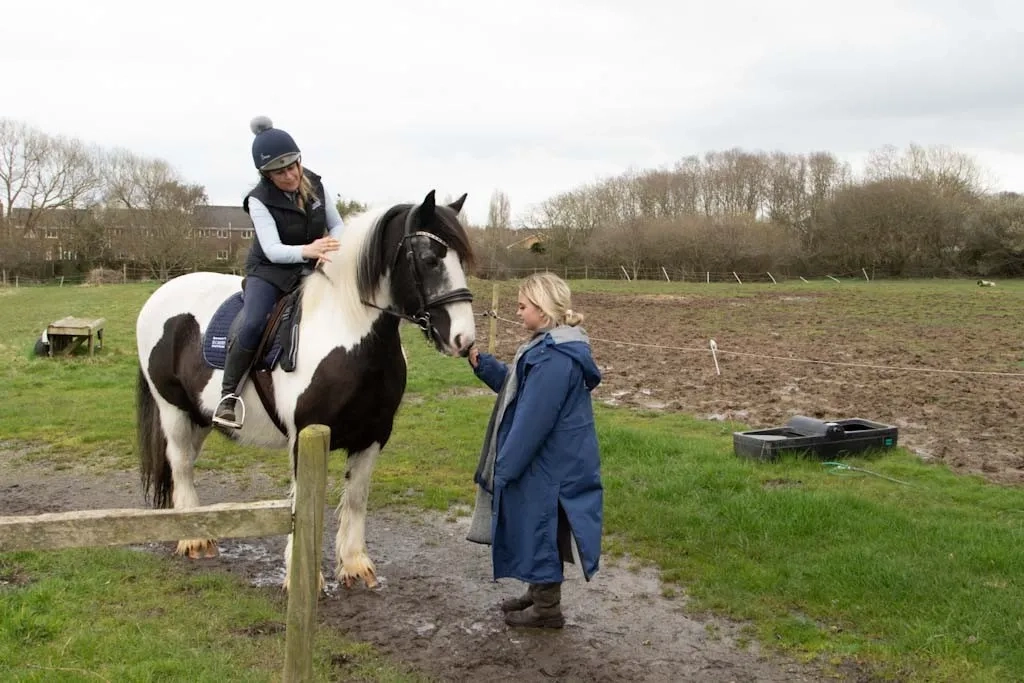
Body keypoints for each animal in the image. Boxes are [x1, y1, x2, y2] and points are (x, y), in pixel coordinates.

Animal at [135, 190, 476, 590]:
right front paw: (302, 576)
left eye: (461, 259)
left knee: (185, 463)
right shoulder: (306, 437)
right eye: (429, 259)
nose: (464, 340)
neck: (346, 333)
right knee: (180, 464)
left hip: (199, 416)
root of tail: (160, 294)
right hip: (172, 409)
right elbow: (303, 503)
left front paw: (354, 564)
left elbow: (356, 497)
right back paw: (193, 540)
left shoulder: (374, 435)